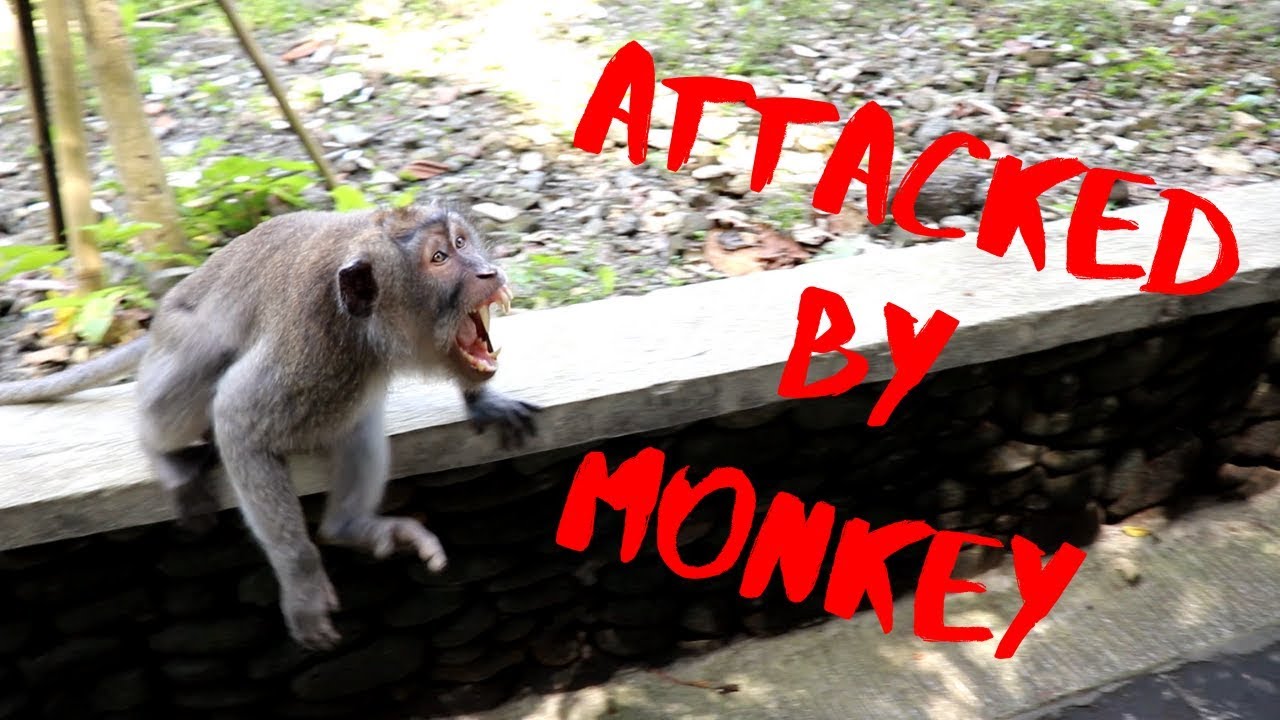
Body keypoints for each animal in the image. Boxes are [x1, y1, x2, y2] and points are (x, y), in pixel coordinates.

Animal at [0, 200, 542, 649]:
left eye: (462, 242)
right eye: (439, 259)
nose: (488, 271)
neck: (366, 328)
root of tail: (155, 327)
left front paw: (483, 399)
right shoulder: (312, 350)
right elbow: (236, 419)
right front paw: (301, 586)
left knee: (356, 415)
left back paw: (350, 527)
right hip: (182, 343)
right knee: (207, 355)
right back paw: (163, 453)